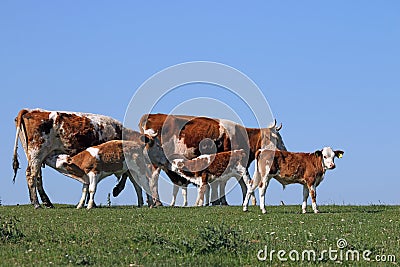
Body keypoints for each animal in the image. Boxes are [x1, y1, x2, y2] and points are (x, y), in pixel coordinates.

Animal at [12, 109, 147, 209]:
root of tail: (31, 111)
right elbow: (124, 173)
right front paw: (117, 189)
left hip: (36, 156)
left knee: (37, 176)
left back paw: (46, 202)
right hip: (37, 153)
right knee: (31, 175)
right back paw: (36, 204)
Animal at [118, 114, 284, 206]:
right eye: (278, 138)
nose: (284, 150)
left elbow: (228, 182)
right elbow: (226, 182)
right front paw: (221, 201)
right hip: (156, 160)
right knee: (152, 178)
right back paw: (157, 202)